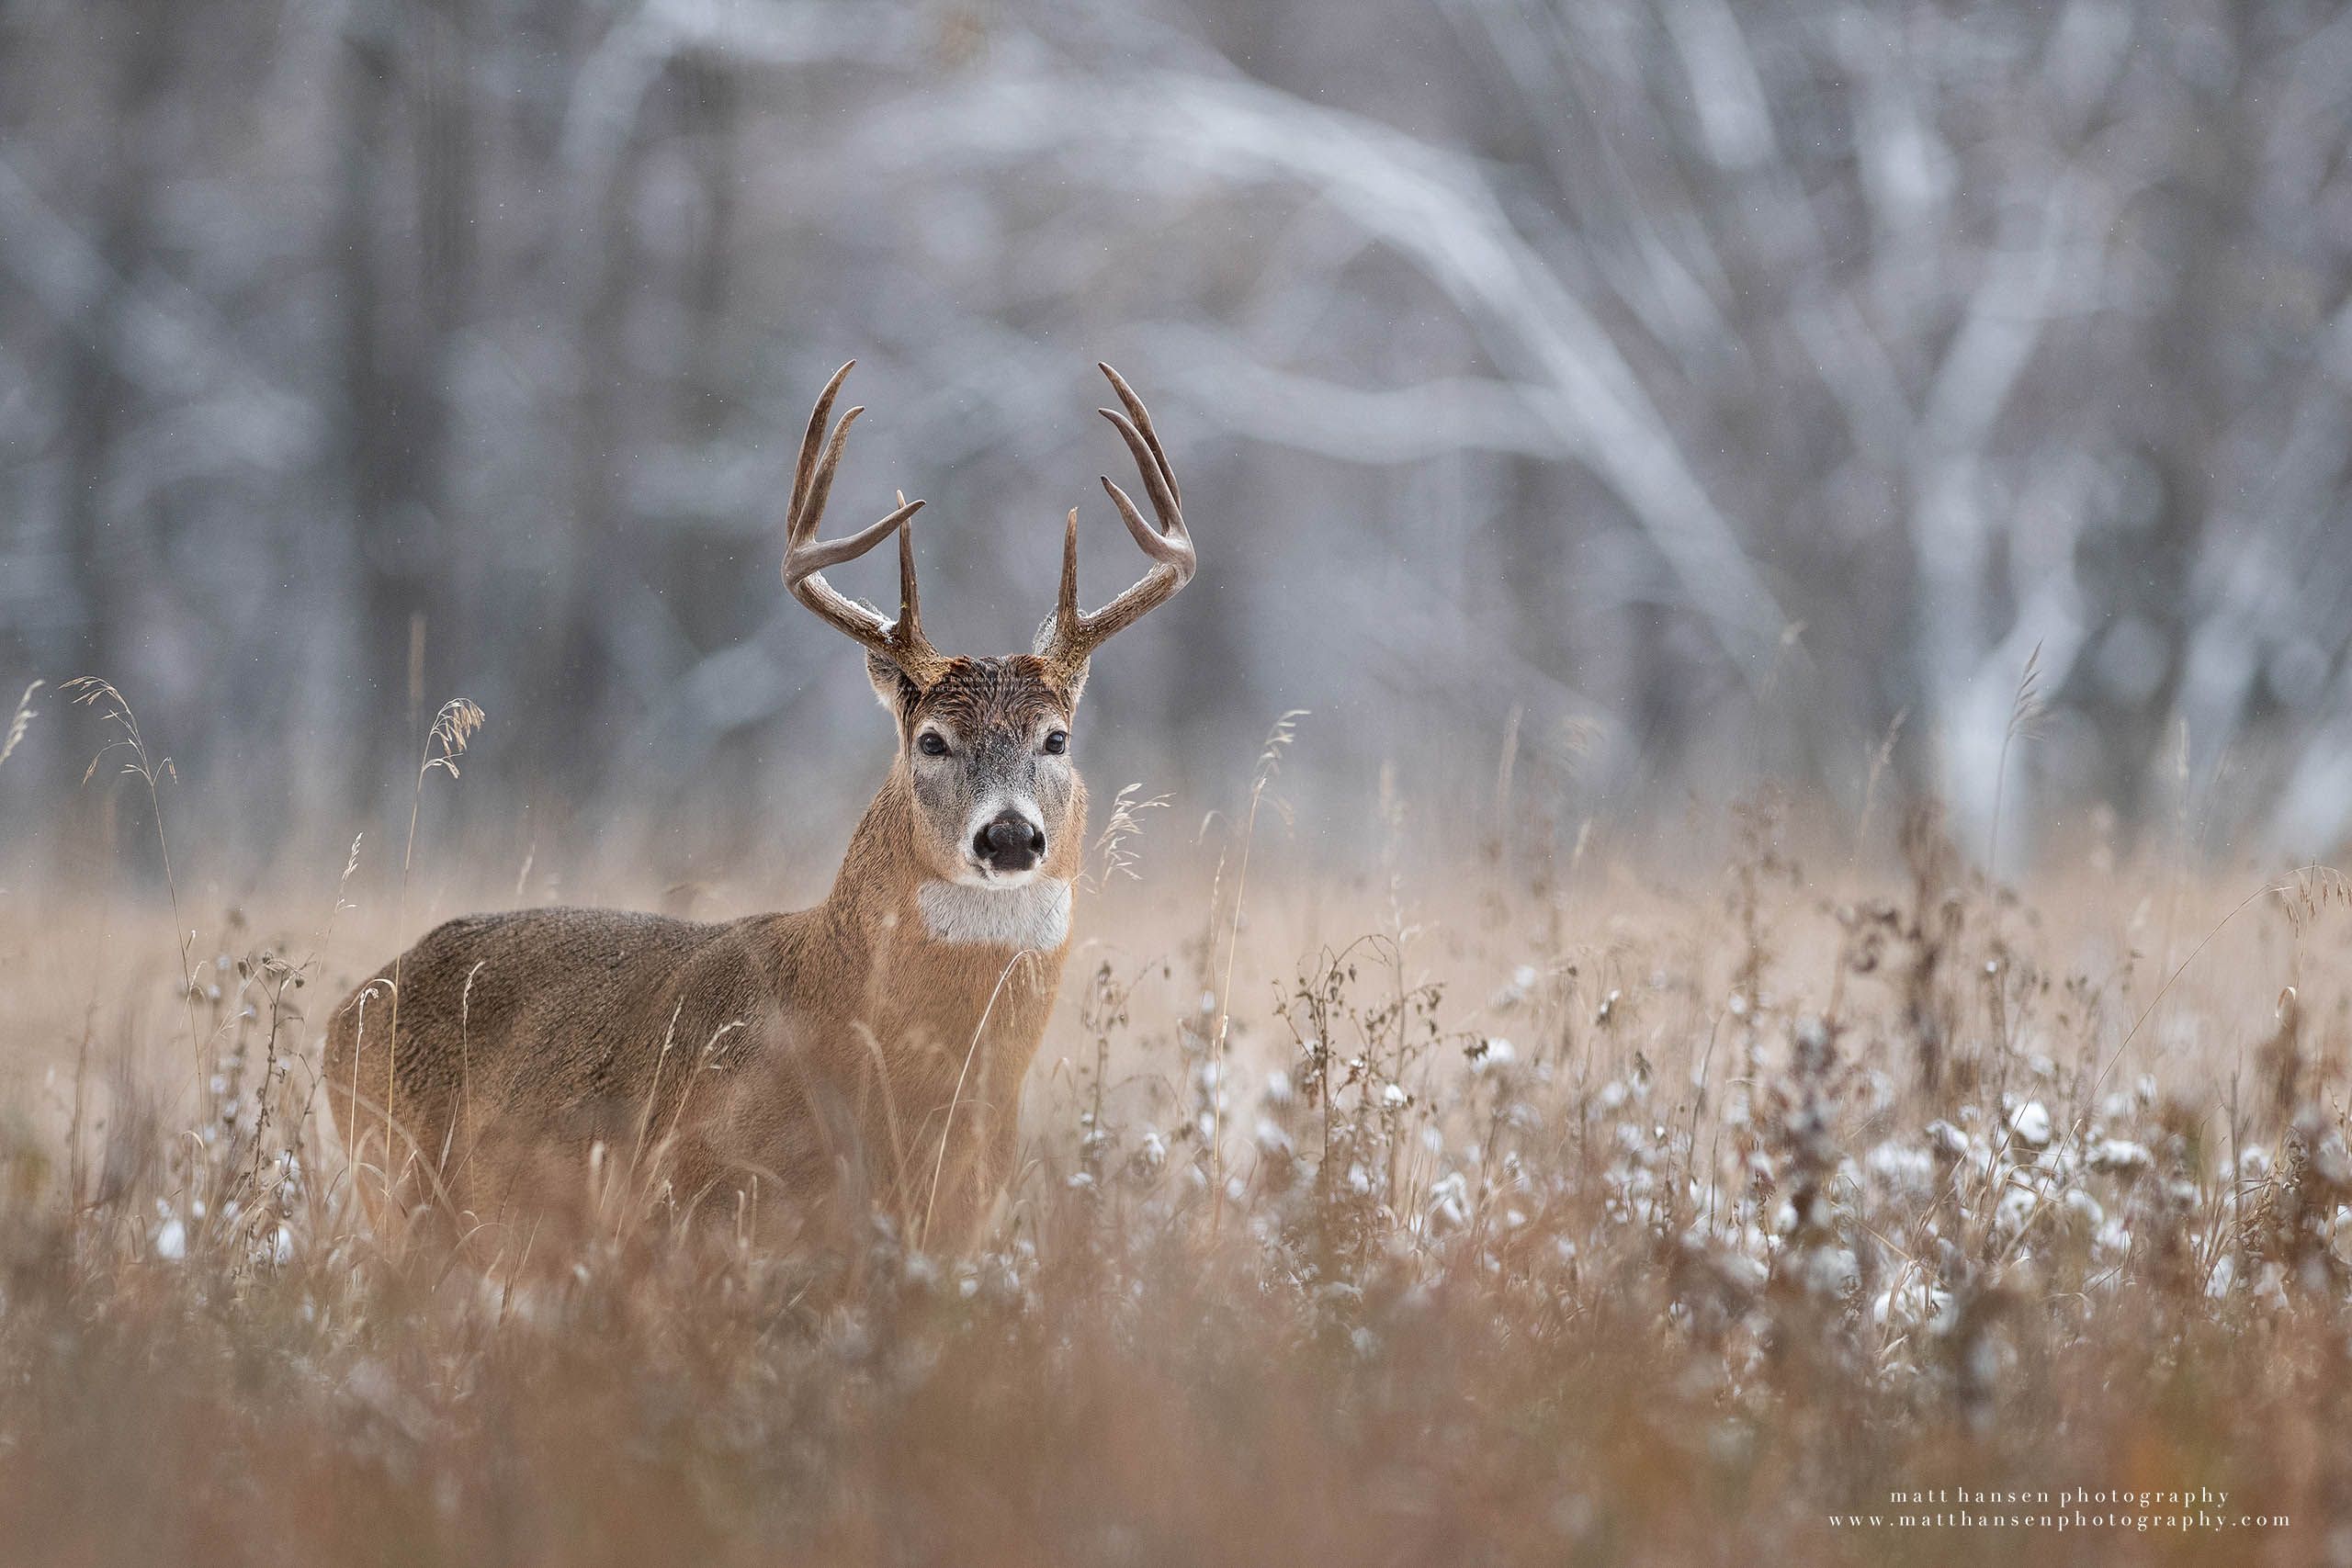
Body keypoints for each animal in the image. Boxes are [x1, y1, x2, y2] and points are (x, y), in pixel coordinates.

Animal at [323, 362, 1195, 1255]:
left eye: (1057, 738)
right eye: (932, 740)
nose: (1011, 834)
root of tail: (347, 1008)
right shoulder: (687, 1206)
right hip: (401, 1194)